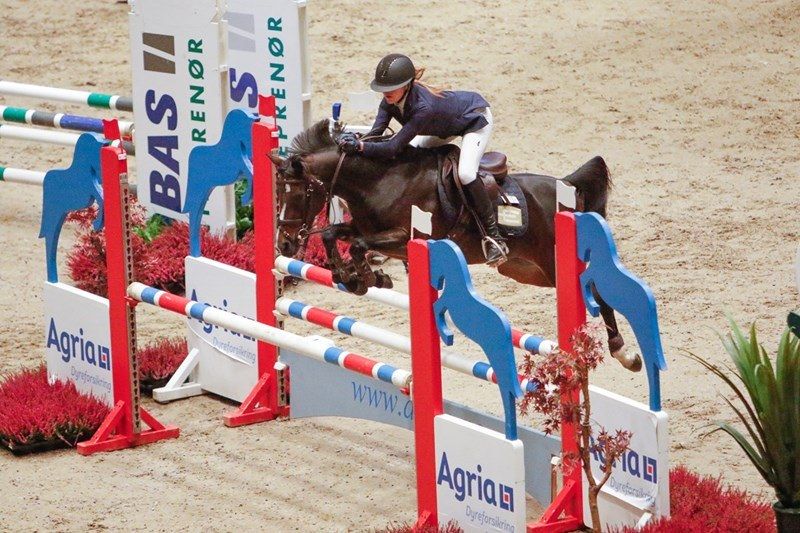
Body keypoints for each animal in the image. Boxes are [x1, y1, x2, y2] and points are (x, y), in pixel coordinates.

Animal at [268, 119, 640, 370]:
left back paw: (624, 352)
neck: (380, 181)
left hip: (553, 260)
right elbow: (333, 235)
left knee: (596, 291)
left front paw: (368, 277)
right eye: (278, 193)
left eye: (300, 194)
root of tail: (565, 187)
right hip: (530, 271)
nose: (284, 244)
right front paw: (353, 277)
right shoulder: (362, 228)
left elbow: (358, 245)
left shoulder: (406, 238)